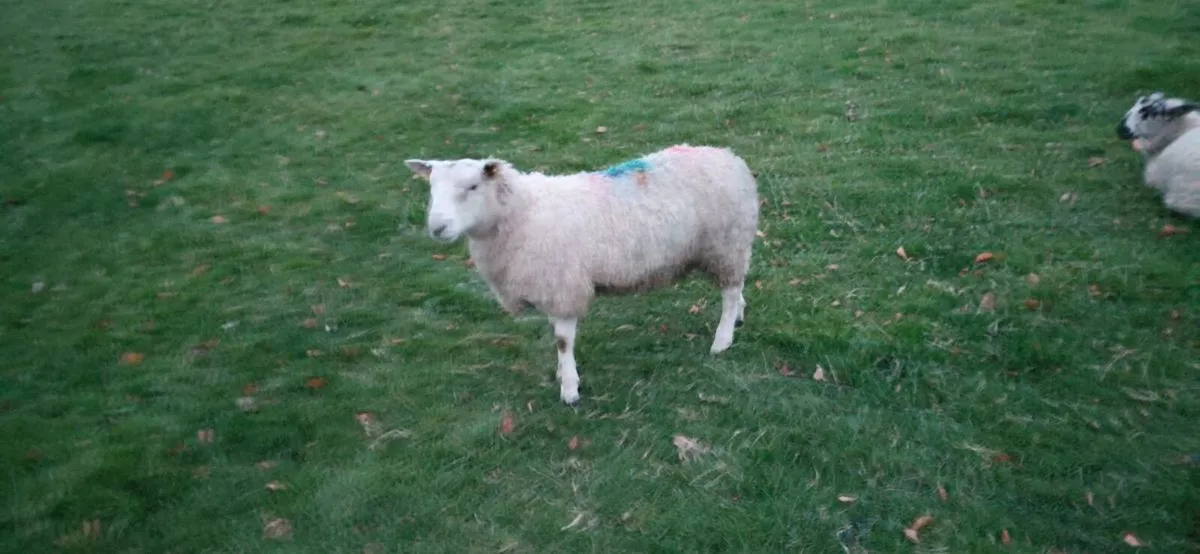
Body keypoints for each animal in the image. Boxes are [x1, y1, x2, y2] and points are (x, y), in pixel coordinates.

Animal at [404, 144, 760, 405]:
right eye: (432, 188)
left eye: (472, 186)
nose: (437, 228)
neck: (523, 212)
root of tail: (730, 157)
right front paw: (564, 377)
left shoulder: (563, 285)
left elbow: (563, 341)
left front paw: (570, 388)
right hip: (727, 247)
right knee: (736, 285)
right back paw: (739, 318)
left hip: (726, 242)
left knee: (729, 293)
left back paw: (722, 339)